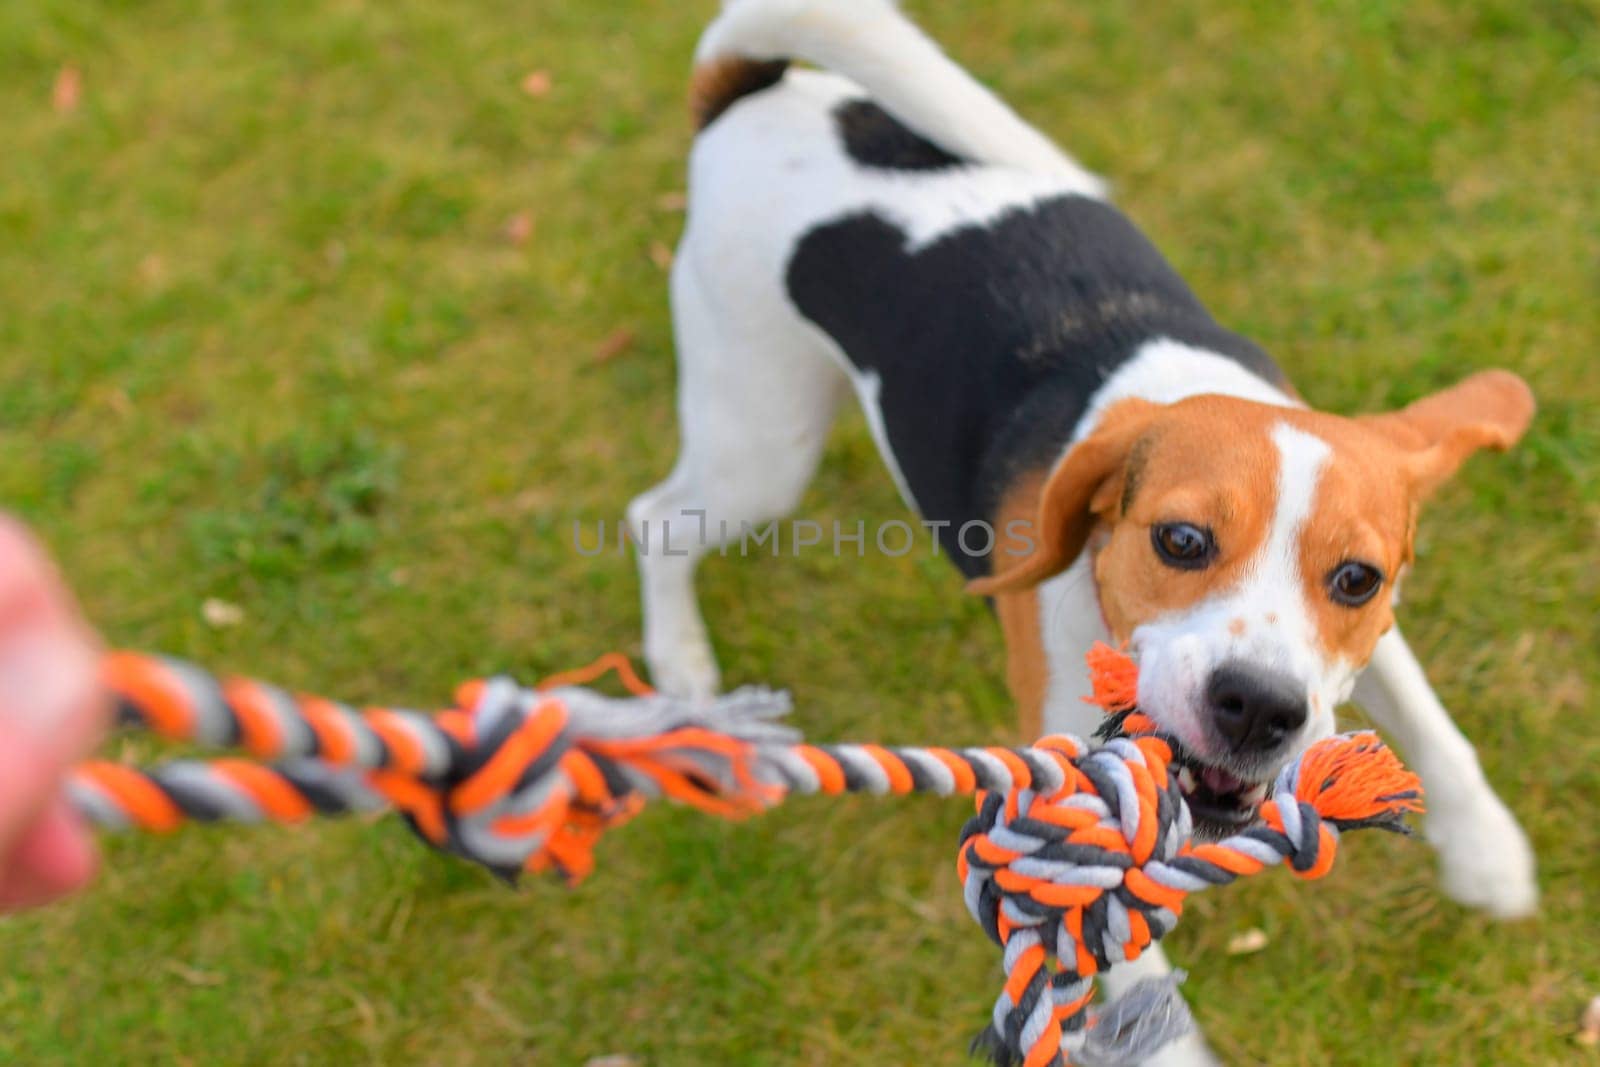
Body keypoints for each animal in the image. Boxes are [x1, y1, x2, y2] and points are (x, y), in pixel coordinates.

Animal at [627, 2, 1536, 1062]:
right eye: (1180, 542)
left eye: (1357, 578)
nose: (1259, 710)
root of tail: (750, 92)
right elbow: (1105, 921)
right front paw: (1164, 1039)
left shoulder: (1359, 649)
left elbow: (1435, 726)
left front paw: (1487, 852)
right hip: (761, 441)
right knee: (656, 522)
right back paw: (684, 665)